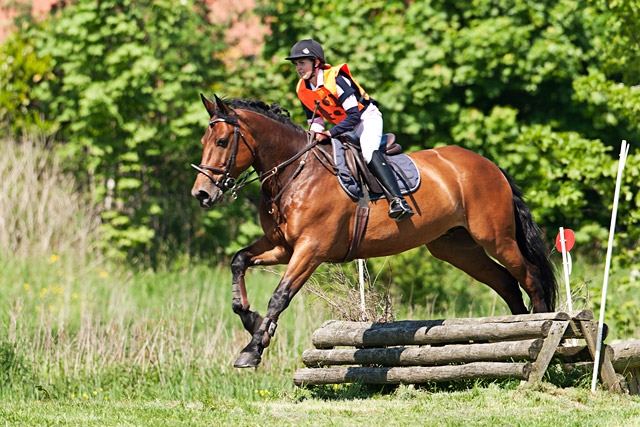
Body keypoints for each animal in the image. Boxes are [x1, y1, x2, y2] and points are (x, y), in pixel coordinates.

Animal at [190, 95, 556, 370]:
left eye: (222, 141)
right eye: (203, 141)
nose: (202, 194)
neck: (295, 172)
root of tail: (489, 165)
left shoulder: (310, 249)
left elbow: (280, 296)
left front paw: (252, 350)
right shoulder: (281, 247)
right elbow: (239, 260)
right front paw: (252, 320)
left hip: (495, 237)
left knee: (529, 275)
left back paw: (539, 327)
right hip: (457, 248)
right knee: (506, 282)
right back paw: (517, 335)